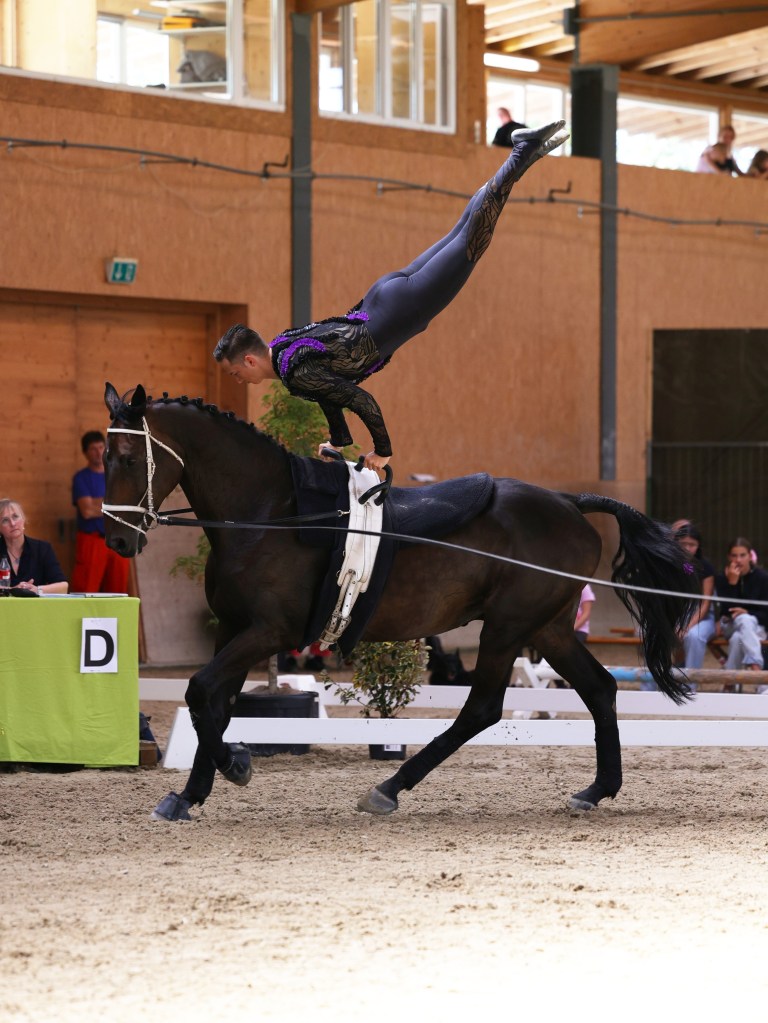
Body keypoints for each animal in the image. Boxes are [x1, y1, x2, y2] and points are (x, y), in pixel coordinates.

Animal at [102, 383, 697, 822]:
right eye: (104, 454)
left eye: (128, 457)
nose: (117, 540)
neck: (271, 512)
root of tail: (570, 500)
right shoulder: (232, 629)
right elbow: (214, 703)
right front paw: (193, 791)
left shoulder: (267, 632)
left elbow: (201, 691)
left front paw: (233, 766)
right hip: (547, 627)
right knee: (599, 688)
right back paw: (597, 790)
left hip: (508, 626)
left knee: (482, 708)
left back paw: (388, 788)